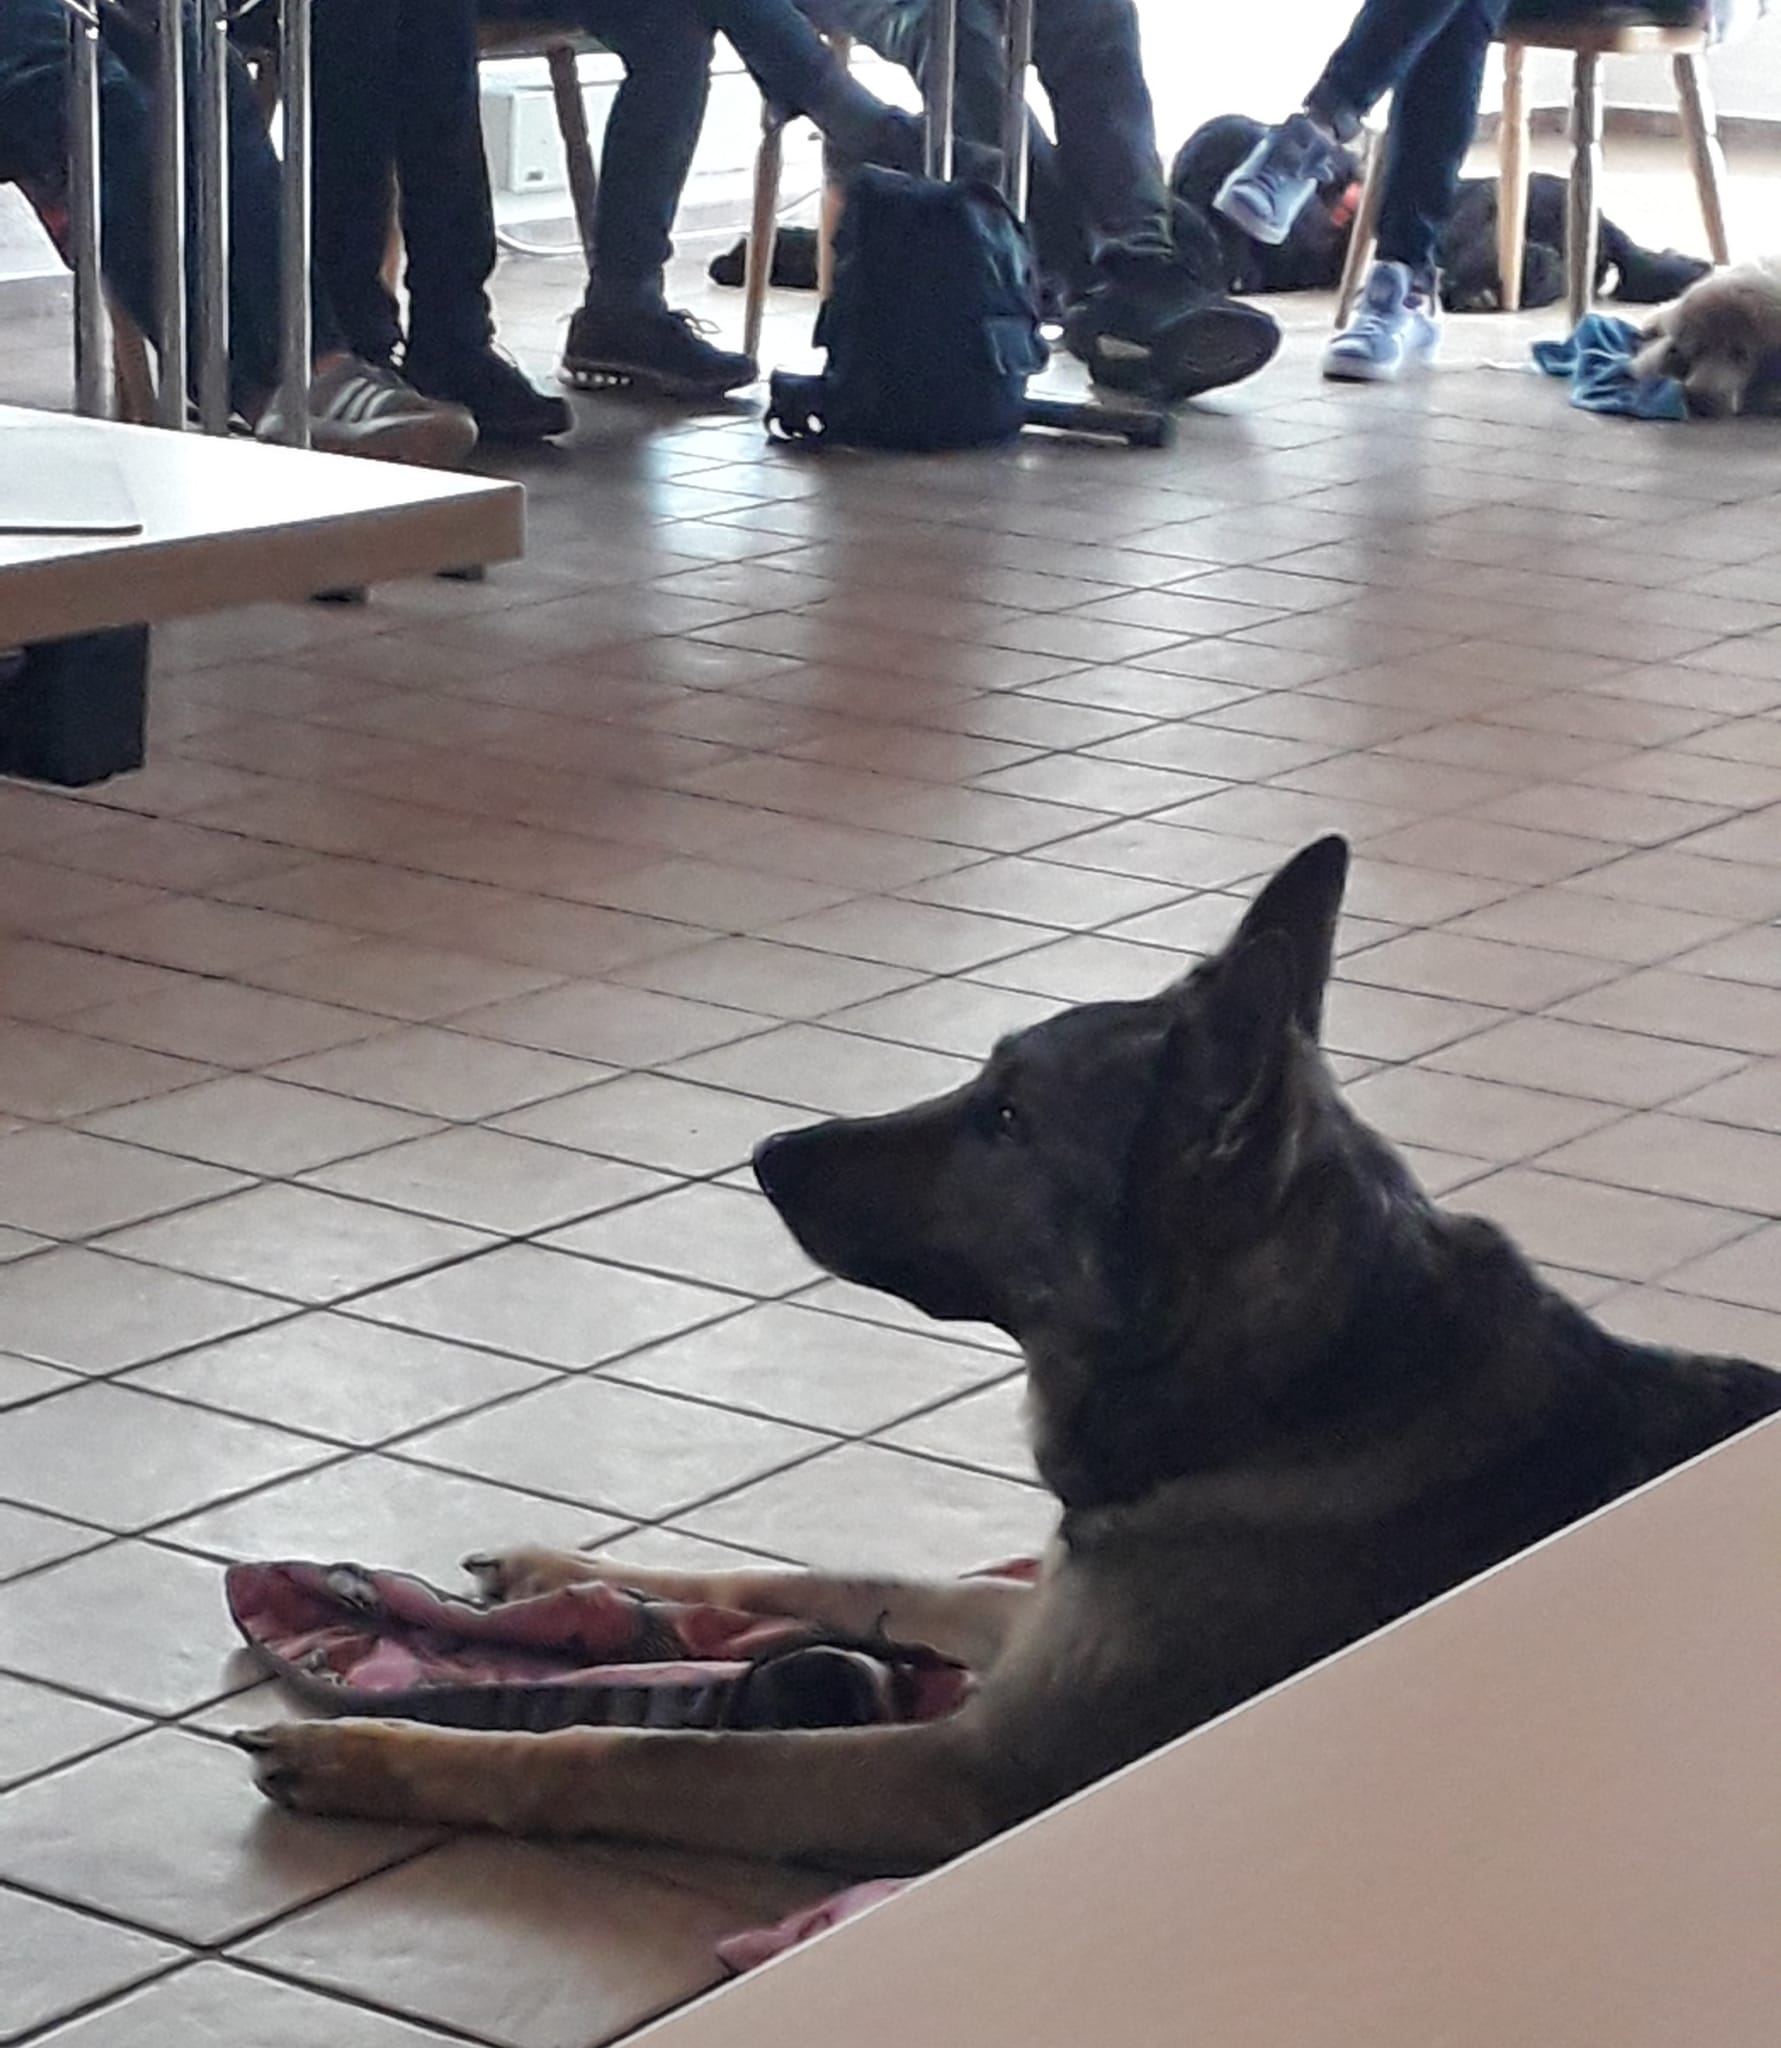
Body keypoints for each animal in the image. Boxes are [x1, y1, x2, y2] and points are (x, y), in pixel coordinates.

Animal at [238, 838, 1781, 1872]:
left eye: (1003, 1121)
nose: (765, 1150)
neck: (1288, 1387)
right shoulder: (1020, 1614)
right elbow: (837, 1573)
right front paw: (569, 1572)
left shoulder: (963, 1775)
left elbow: (637, 1749)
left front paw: (376, 1750)